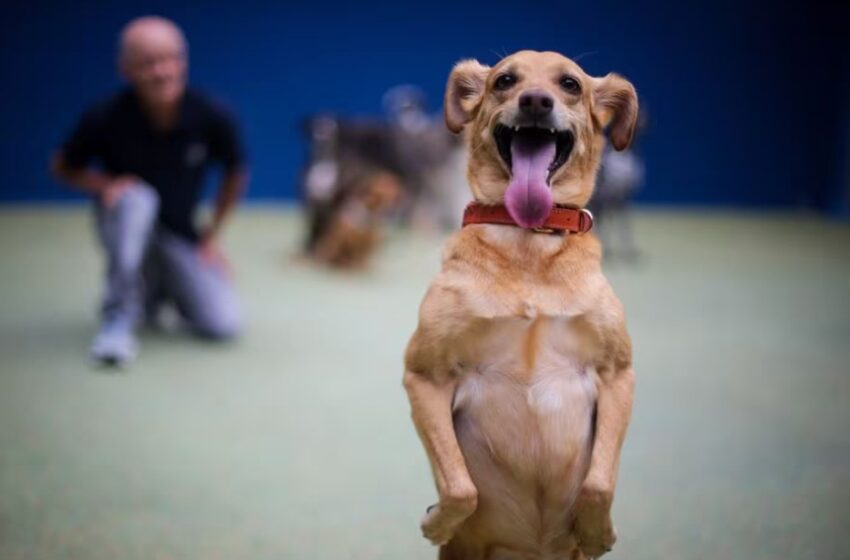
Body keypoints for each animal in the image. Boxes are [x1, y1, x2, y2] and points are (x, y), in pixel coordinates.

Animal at [404, 50, 636, 556]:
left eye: (570, 85)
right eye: (504, 81)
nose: (534, 101)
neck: (528, 241)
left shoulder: (617, 374)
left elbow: (598, 485)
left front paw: (597, 532)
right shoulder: (424, 376)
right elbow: (460, 488)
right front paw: (437, 521)